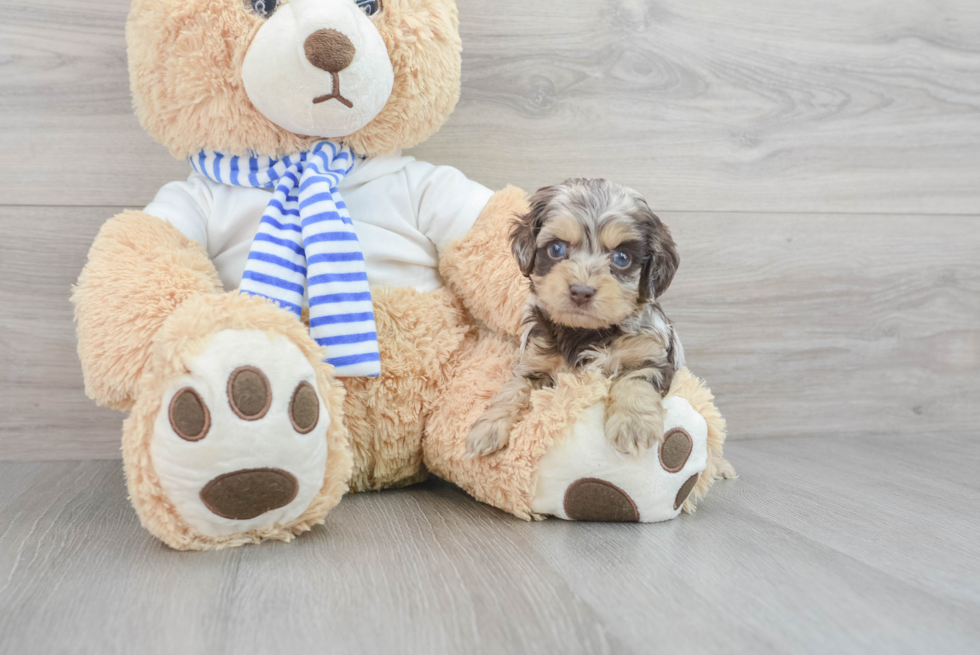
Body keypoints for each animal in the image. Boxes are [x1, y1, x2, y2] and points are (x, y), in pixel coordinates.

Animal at [466, 177, 680, 458]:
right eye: (556, 249)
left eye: (622, 258)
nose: (581, 291)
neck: (585, 331)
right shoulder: (534, 363)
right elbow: (513, 389)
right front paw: (488, 426)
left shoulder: (650, 356)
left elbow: (635, 381)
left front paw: (633, 425)